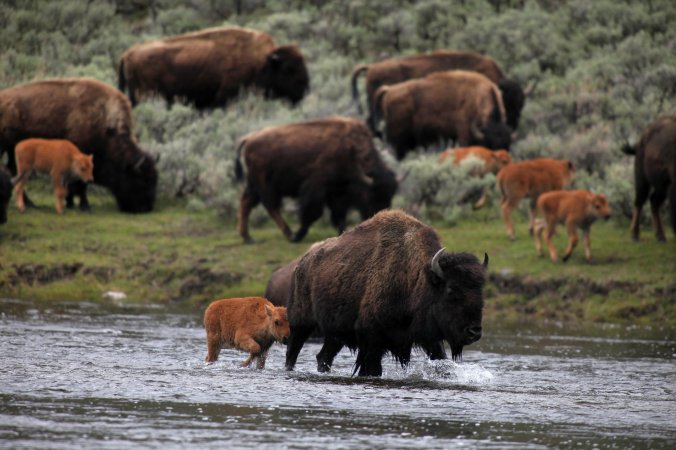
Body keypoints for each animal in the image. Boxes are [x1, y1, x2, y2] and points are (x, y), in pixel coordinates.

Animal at [0, 78, 157, 213]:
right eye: (142, 181)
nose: (146, 208)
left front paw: (70, 203)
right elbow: (81, 183)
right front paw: (84, 206)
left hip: (14, 151)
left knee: (16, 172)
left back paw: (29, 203)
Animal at [119, 26, 309, 109]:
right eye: (289, 69)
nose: (304, 89)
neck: (264, 61)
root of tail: (128, 53)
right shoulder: (225, 96)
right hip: (146, 95)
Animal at [235, 117, 398, 243]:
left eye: (389, 196)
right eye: (373, 195)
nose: (381, 218)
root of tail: (248, 139)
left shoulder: (338, 192)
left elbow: (339, 215)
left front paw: (342, 234)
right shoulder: (318, 187)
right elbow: (312, 213)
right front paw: (299, 235)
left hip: (254, 184)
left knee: (246, 202)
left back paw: (248, 238)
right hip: (265, 183)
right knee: (270, 206)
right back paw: (290, 234)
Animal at [285, 209, 488, 377]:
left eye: (481, 290)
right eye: (451, 290)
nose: (474, 332)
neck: (417, 277)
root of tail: (303, 262)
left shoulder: (428, 339)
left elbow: (441, 360)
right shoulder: (372, 339)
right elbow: (372, 369)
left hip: (335, 333)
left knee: (323, 357)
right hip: (301, 322)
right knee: (292, 351)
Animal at [374, 70, 512, 159]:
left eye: (508, 145)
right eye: (491, 145)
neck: (478, 98)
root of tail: (389, 90)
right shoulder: (464, 134)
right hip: (399, 140)